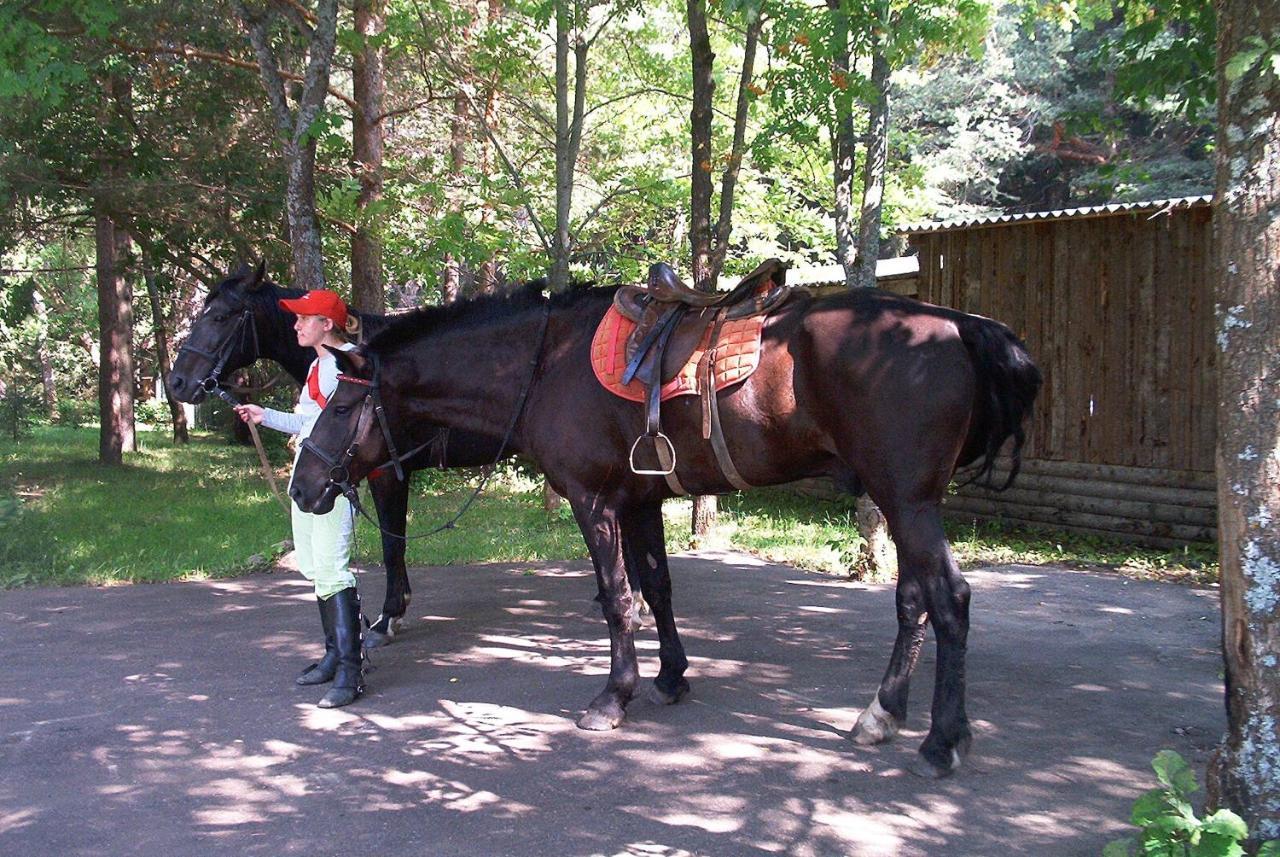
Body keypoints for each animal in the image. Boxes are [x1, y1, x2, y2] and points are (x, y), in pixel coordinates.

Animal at [288, 268, 1039, 777]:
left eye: (338, 405)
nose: (303, 486)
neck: (545, 364)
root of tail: (957, 322)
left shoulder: (593, 500)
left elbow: (618, 599)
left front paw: (612, 697)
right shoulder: (640, 500)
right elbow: (657, 587)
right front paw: (672, 676)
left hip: (909, 502)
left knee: (949, 599)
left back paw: (943, 739)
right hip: (901, 501)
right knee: (913, 599)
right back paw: (882, 712)